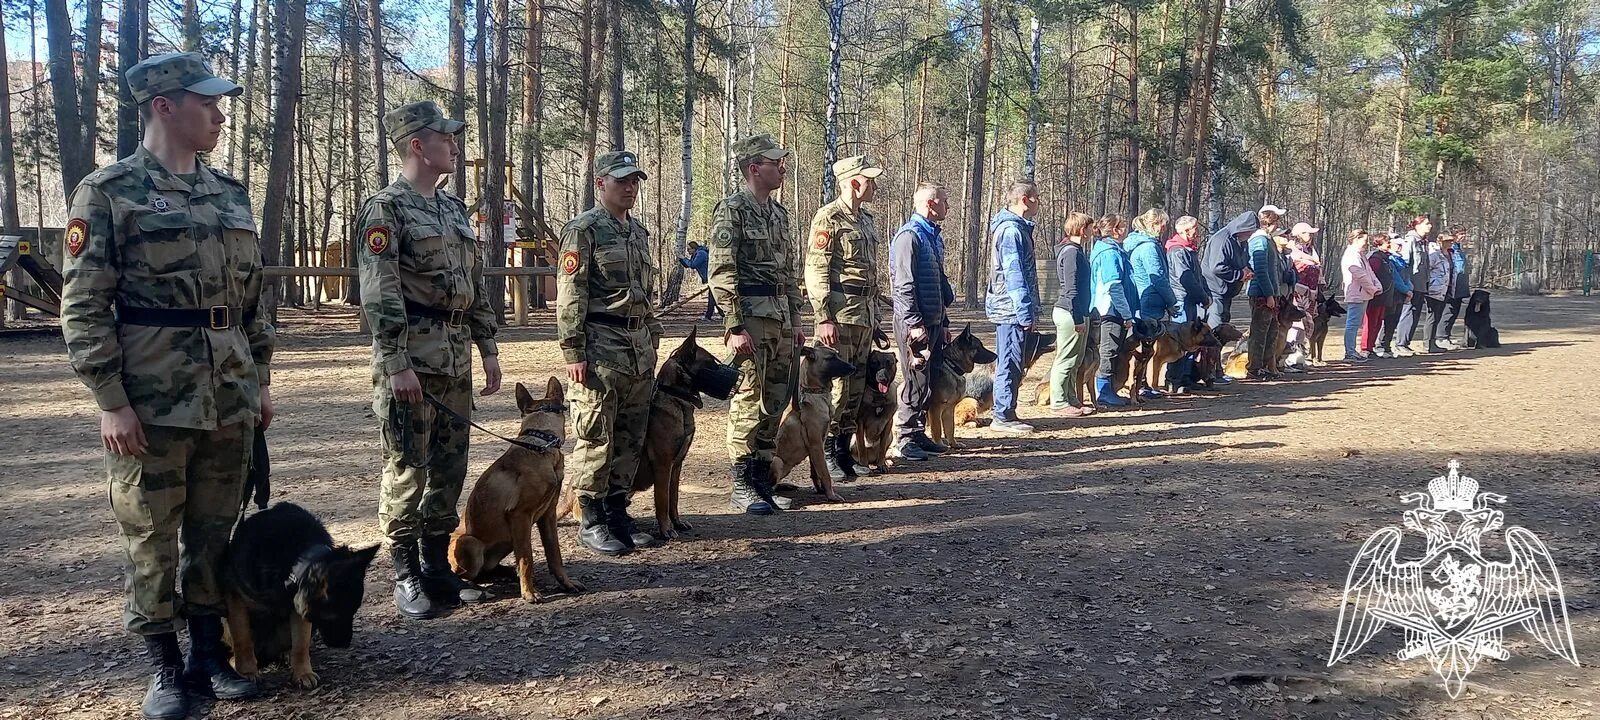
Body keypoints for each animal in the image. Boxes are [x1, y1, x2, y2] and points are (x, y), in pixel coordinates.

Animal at [224, 502, 379, 688]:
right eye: (339, 613)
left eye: (354, 611)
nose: (345, 644)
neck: (296, 559)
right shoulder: (235, 599)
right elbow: (242, 638)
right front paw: (247, 671)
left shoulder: (298, 608)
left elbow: (301, 643)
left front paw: (303, 673)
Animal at [448, 379, 585, 604]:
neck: (540, 446)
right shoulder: (520, 516)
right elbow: (527, 558)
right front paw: (529, 592)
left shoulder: (548, 515)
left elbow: (554, 554)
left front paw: (566, 583)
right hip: (470, 543)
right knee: (466, 575)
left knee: (487, 571)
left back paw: (508, 572)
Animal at [550, 329, 726, 537]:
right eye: (710, 362)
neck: (675, 399)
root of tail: (568, 496)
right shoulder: (663, 466)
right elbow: (662, 501)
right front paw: (666, 529)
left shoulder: (676, 467)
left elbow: (673, 499)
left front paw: (676, 522)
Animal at [768, 345, 857, 502]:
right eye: (831, 357)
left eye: (838, 355)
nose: (853, 367)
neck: (815, 392)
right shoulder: (816, 445)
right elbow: (825, 473)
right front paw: (831, 495)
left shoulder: (818, 445)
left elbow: (816, 471)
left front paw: (820, 490)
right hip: (777, 461)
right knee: (770, 486)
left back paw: (785, 486)